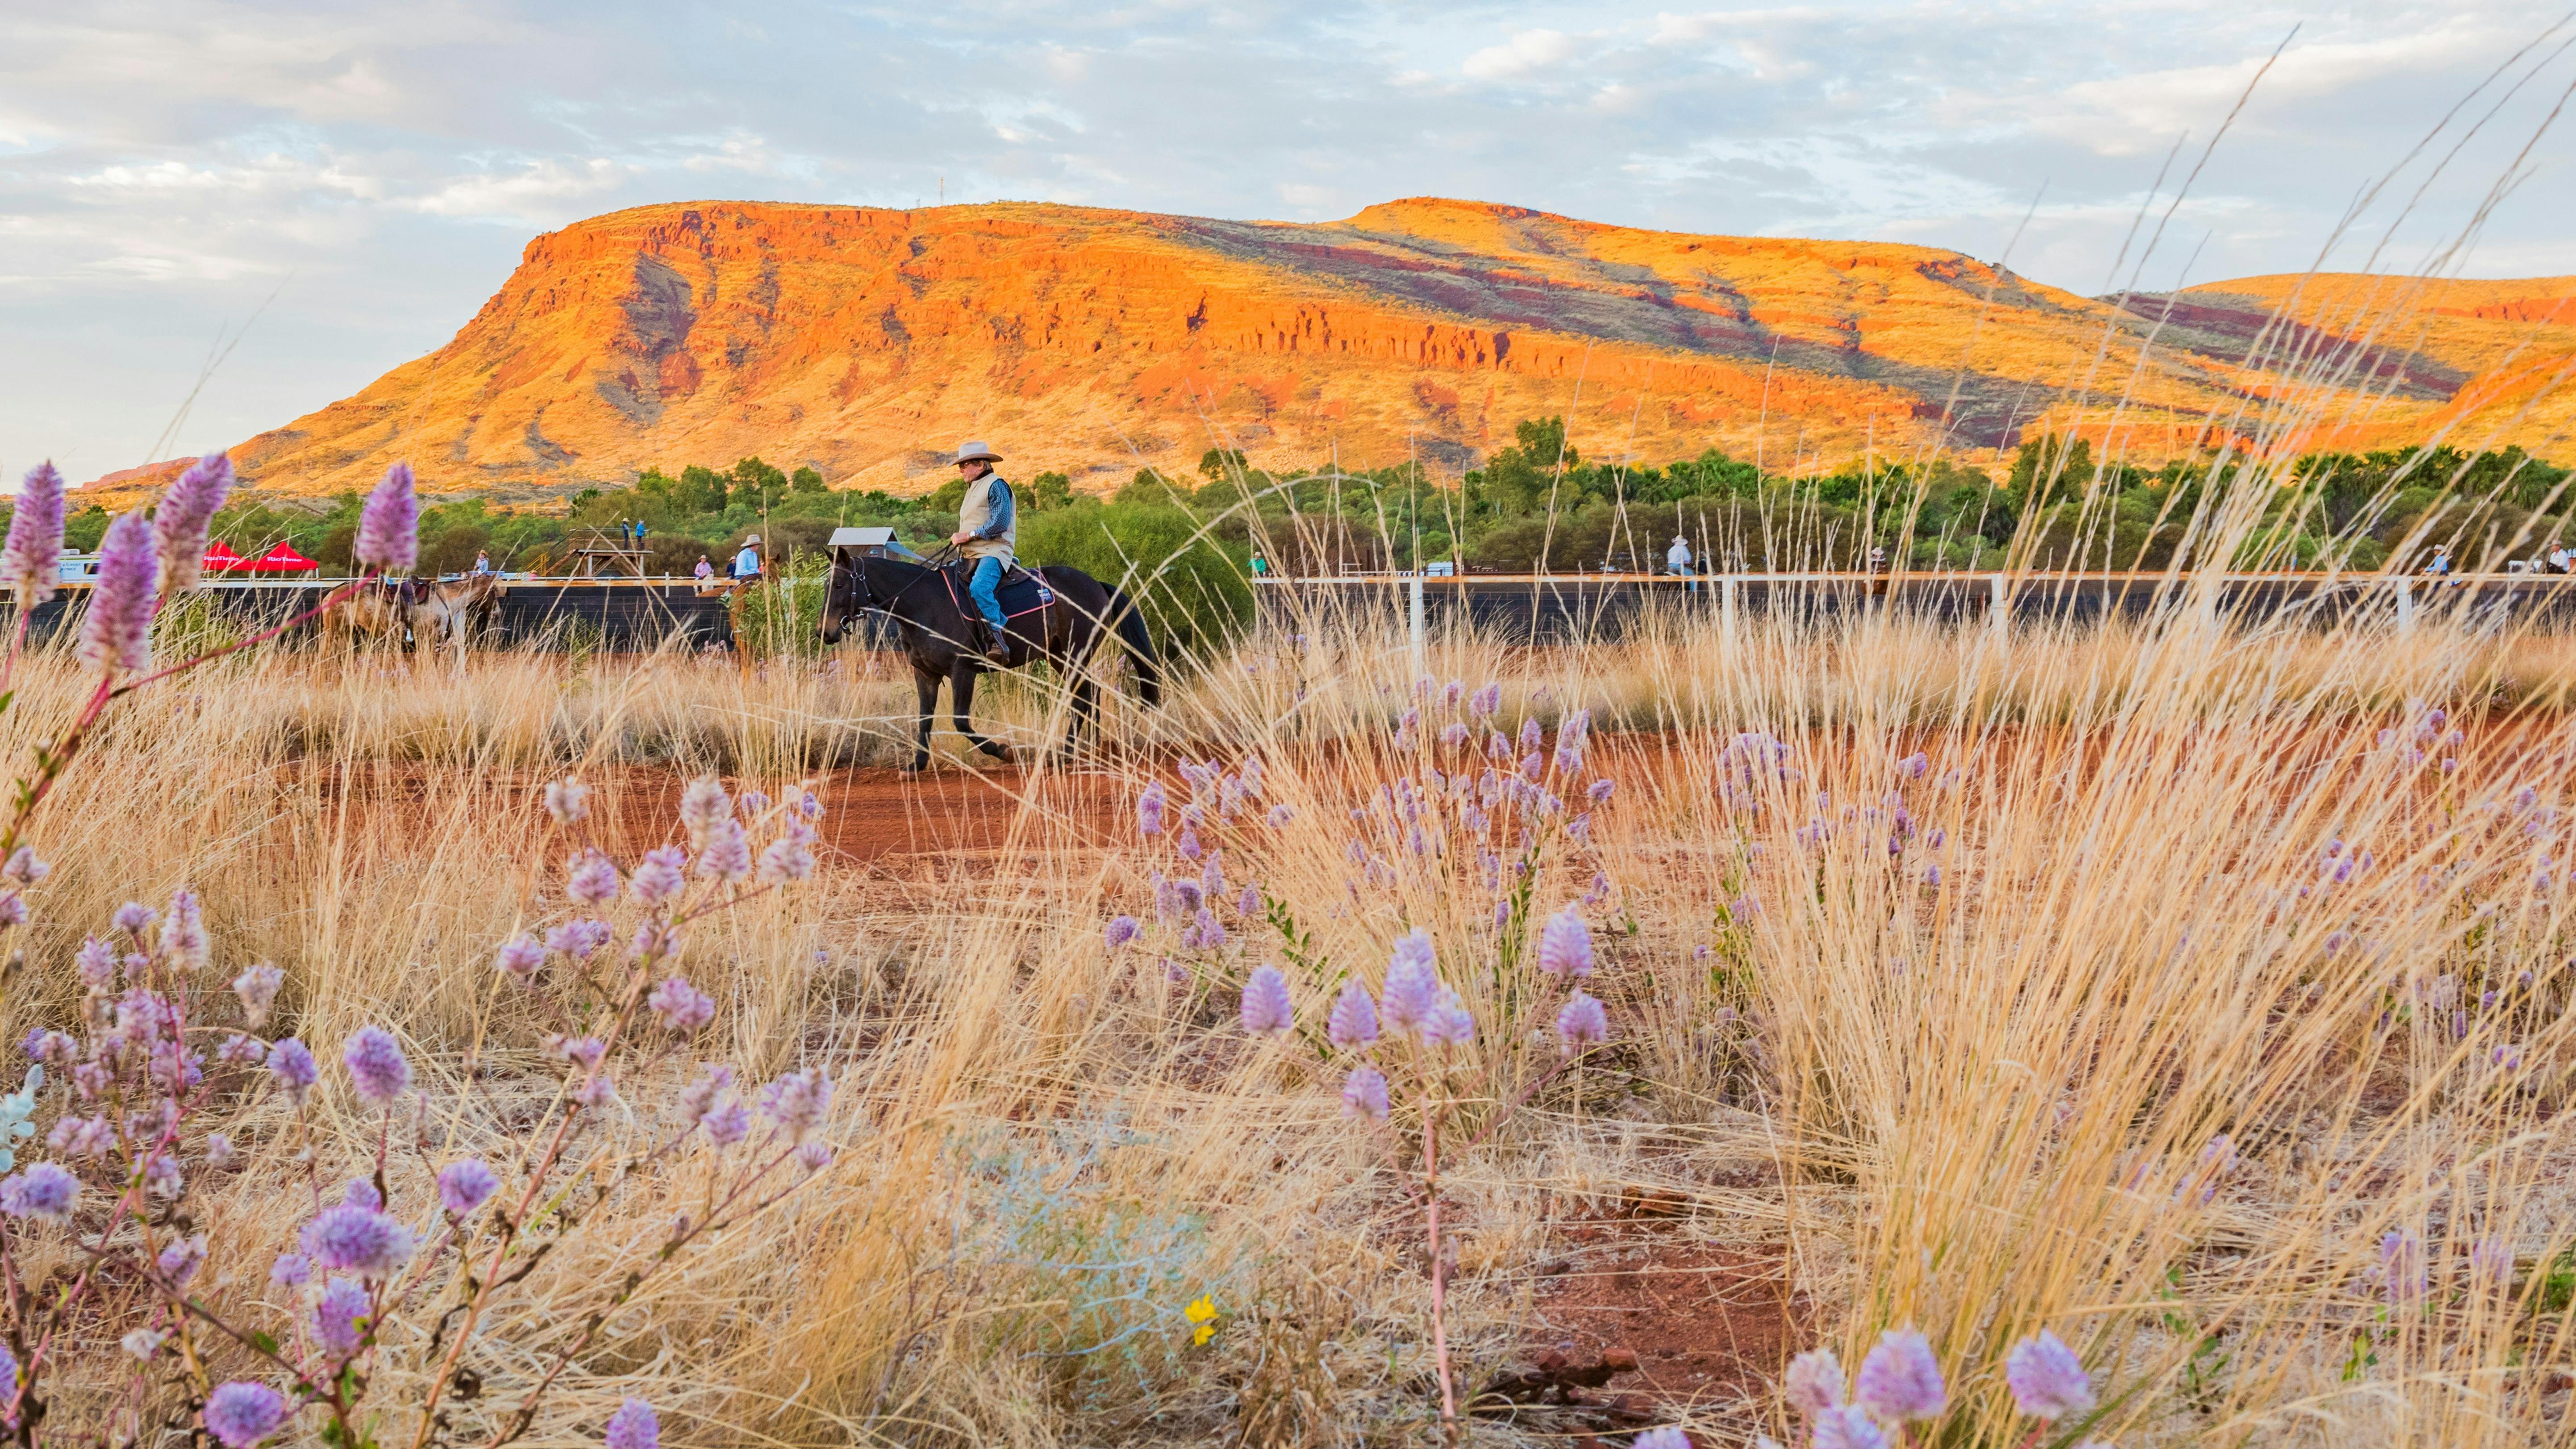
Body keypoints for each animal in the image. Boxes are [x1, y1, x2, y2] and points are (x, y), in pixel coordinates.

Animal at [819, 550, 1164, 772]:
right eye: (826, 585)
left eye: (840, 585)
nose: (826, 631)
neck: (923, 604)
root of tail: (1096, 584)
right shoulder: (925, 674)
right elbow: (924, 719)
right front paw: (916, 765)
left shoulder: (963, 671)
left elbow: (961, 722)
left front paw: (1002, 751)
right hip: (1061, 656)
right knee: (1090, 695)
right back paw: (1085, 751)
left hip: (1074, 653)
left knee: (1083, 697)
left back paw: (1067, 754)